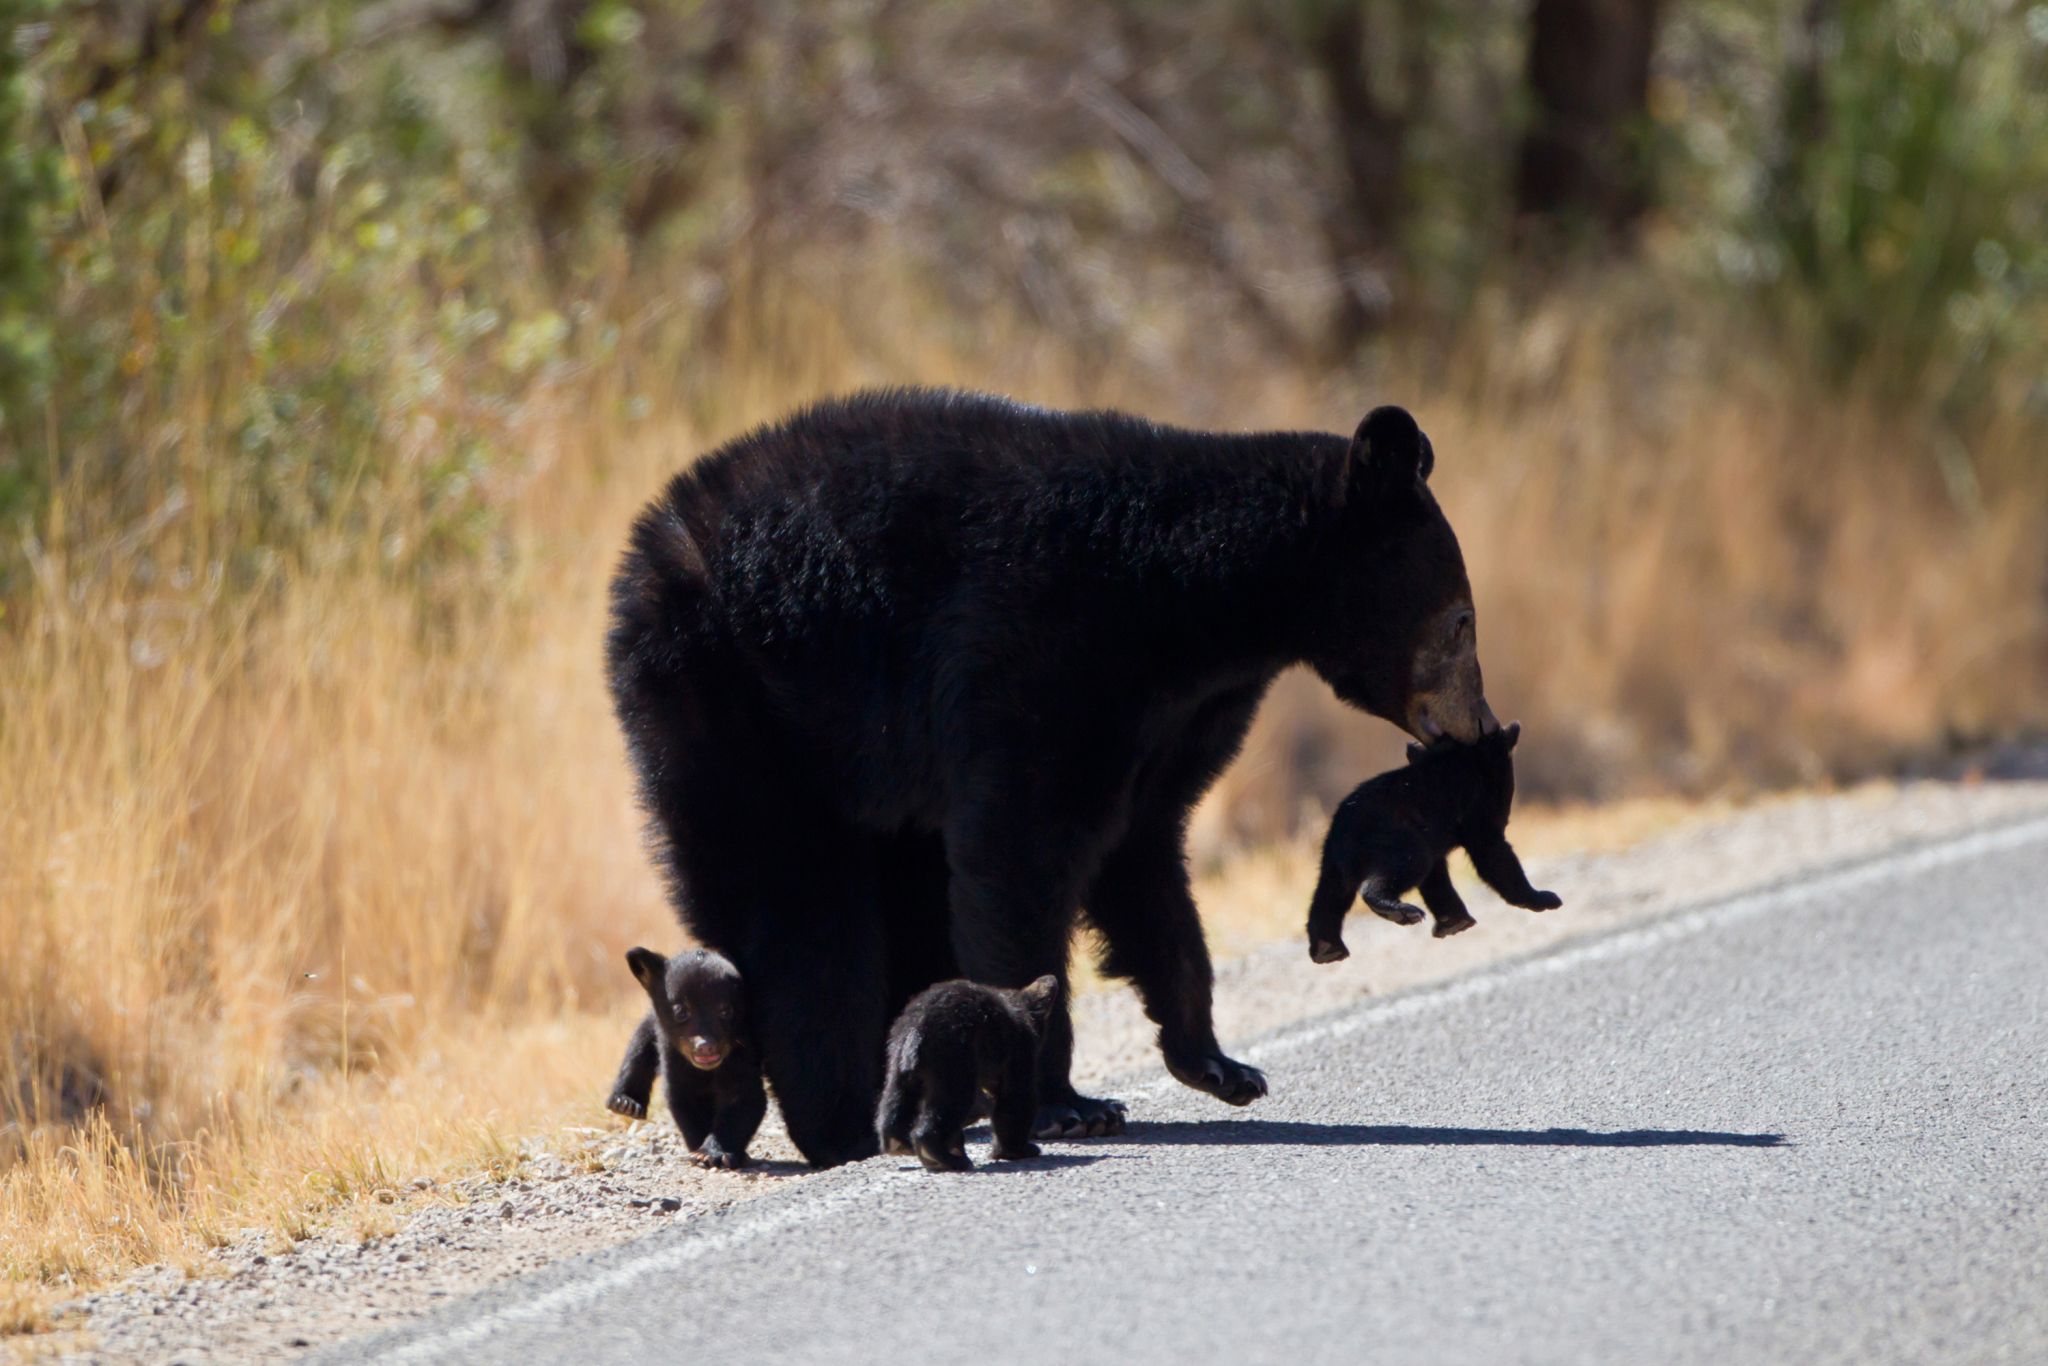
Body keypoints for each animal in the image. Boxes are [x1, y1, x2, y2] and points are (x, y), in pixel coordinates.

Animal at [610, 950, 770, 1163]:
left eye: (725, 1010)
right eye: (681, 1011)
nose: (706, 1047)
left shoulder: (743, 1051)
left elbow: (744, 1097)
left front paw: (711, 1152)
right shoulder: (673, 1056)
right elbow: (684, 1098)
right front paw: (698, 1149)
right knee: (638, 1049)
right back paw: (625, 1103)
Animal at [876, 978, 1064, 1171]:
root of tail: (916, 1029)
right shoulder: (1017, 1053)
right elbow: (1015, 1098)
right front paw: (1017, 1150)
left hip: (898, 1057)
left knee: (896, 1095)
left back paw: (898, 1141)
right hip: (953, 1054)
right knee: (953, 1100)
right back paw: (945, 1157)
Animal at [1302, 724, 1556, 962]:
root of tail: (1342, 830)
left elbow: (1436, 879)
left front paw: (1453, 922)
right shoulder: (1477, 811)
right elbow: (1493, 854)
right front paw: (1542, 898)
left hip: (1334, 862)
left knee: (1329, 896)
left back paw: (1327, 949)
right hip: (1396, 839)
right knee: (1404, 867)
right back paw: (1403, 912)